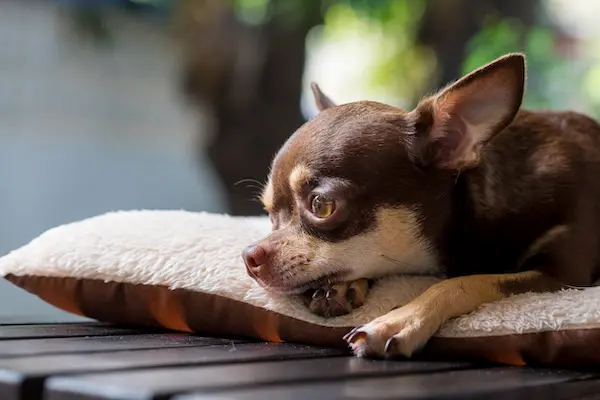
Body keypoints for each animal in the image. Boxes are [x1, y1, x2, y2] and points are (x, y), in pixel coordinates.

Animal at [240, 52, 600, 356]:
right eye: (269, 214)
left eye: (322, 206)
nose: (249, 256)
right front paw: (341, 287)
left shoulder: (562, 275)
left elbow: (467, 281)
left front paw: (399, 320)